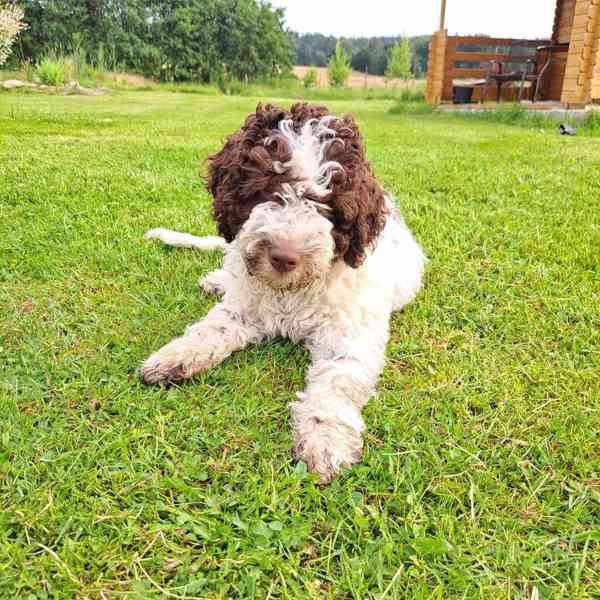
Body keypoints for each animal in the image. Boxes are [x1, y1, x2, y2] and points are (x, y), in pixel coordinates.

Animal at [141, 99, 424, 482]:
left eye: (327, 206)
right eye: (267, 189)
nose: (284, 257)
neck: (291, 292)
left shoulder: (348, 333)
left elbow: (337, 381)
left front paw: (324, 438)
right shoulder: (245, 306)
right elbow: (212, 328)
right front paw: (176, 355)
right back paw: (216, 280)